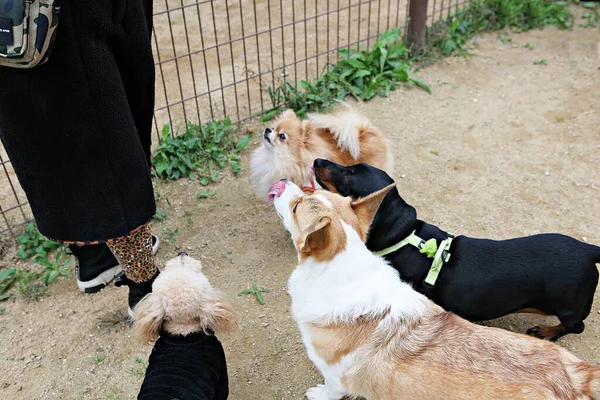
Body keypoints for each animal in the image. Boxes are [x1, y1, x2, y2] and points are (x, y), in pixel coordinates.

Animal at [270, 180, 600, 400]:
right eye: (311, 193)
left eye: (297, 206)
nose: (281, 182)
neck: (341, 271)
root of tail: (574, 381)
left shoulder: (335, 377)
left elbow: (329, 390)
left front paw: (316, 393)